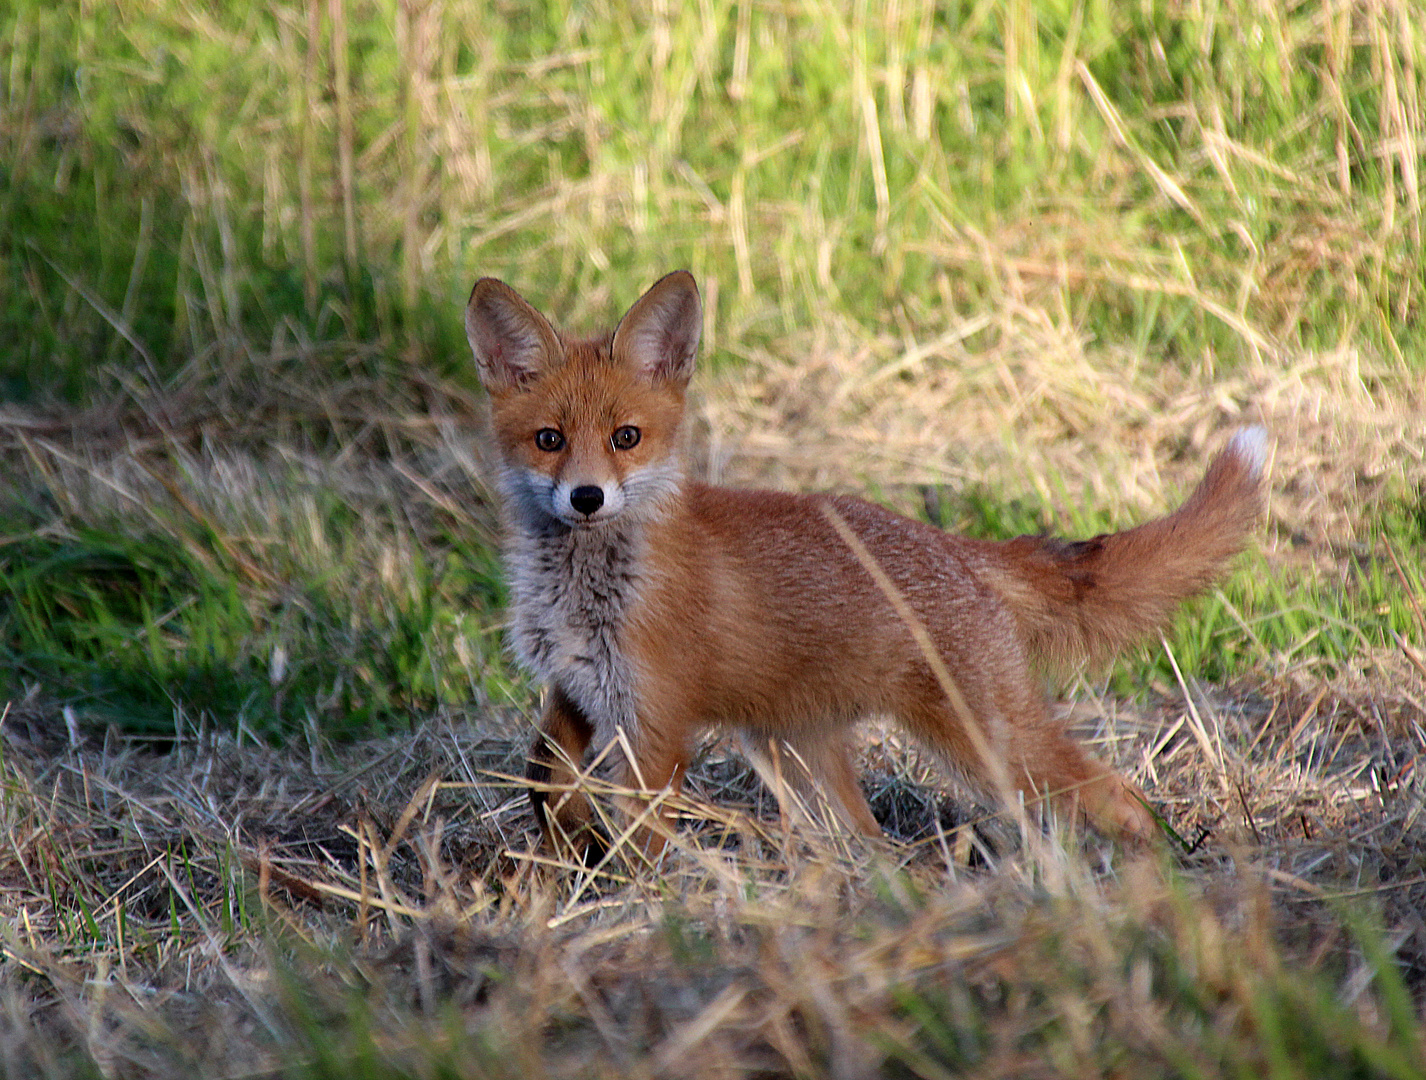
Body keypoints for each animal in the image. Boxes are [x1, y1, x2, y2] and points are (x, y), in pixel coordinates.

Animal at [467, 269, 1271, 861]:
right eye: (548, 439)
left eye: (626, 437)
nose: (587, 496)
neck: (588, 593)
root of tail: (957, 547)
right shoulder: (575, 689)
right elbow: (543, 775)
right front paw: (560, 848)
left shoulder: (658, 724)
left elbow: (638, 841)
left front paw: (635, 903)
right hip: (801, 760)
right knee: (874, 842)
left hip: (990, 744)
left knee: (1115, 795)